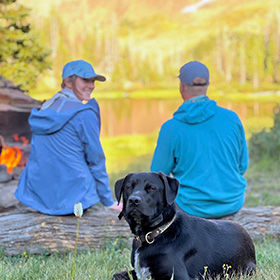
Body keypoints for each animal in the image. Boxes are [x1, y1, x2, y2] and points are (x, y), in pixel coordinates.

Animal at [111, 172, 256, 278]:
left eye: (151, 188)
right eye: (128, 187)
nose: (134, 200)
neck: (155, 233)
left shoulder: (178, 275)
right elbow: (117, 275)